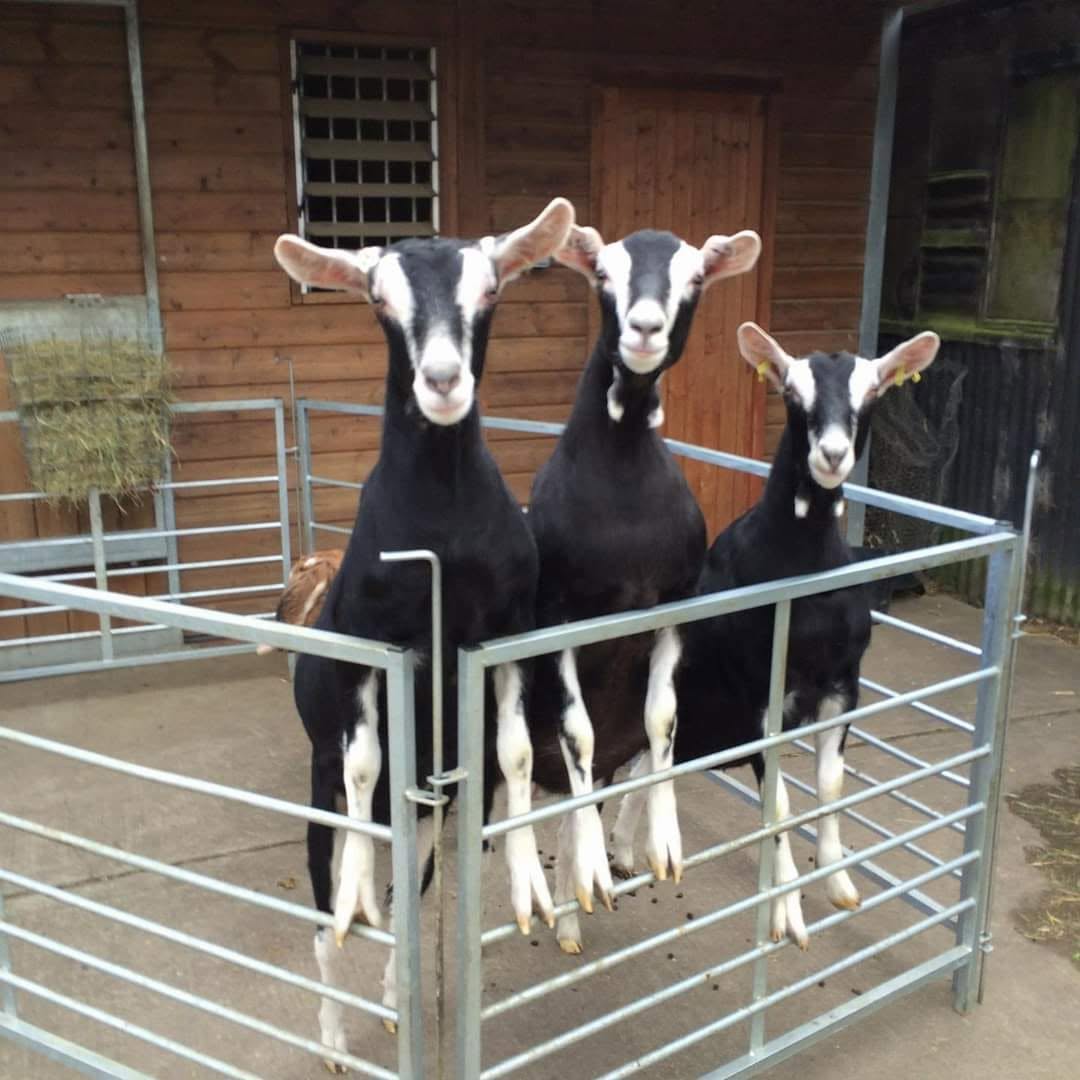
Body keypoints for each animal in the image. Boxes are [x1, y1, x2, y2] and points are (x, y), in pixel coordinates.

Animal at [272, 198, 574, 1065]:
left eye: (491, 289)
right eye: (378, 299)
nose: (441, 381)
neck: (442, 526)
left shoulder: (502, 639)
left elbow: (514, 755)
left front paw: (528, 886)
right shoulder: (375, 652)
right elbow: (366, 763)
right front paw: (354, 904)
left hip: (430, 806)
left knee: (414, 886)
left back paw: (389, 1000)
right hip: (323, 793)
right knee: (325, 912)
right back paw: (336, 1029)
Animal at [525, 225, 762, 954]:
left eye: (695, 280)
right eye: (603, 275)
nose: (645, 329)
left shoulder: (671, 611)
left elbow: (664, 719)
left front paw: (662, 845)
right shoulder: (559, 620)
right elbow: (576, 734)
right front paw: (596, 873)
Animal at [610, 322, 941, 948]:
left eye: (873, 392)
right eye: (791, 392)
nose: (832, 454)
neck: (801, 571)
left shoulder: (842, 685)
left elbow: (830, 787)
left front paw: (839, 883)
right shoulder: (758, 697)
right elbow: (780, 806)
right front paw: (788, 914)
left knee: (646, 766)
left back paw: (623, 849)